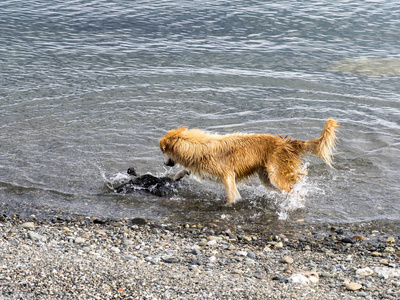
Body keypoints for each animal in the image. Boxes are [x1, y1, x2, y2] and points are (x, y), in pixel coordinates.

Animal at [159, 118, 338, 205]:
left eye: (164, 152)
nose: (164, 163)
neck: (196, 146)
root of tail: (288, 143)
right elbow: (186, 170)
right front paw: (176, 176)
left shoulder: (227, 175)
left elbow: (231, 194)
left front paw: (229, 205)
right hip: (267, 178)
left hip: (276, 175)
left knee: (294, 191)